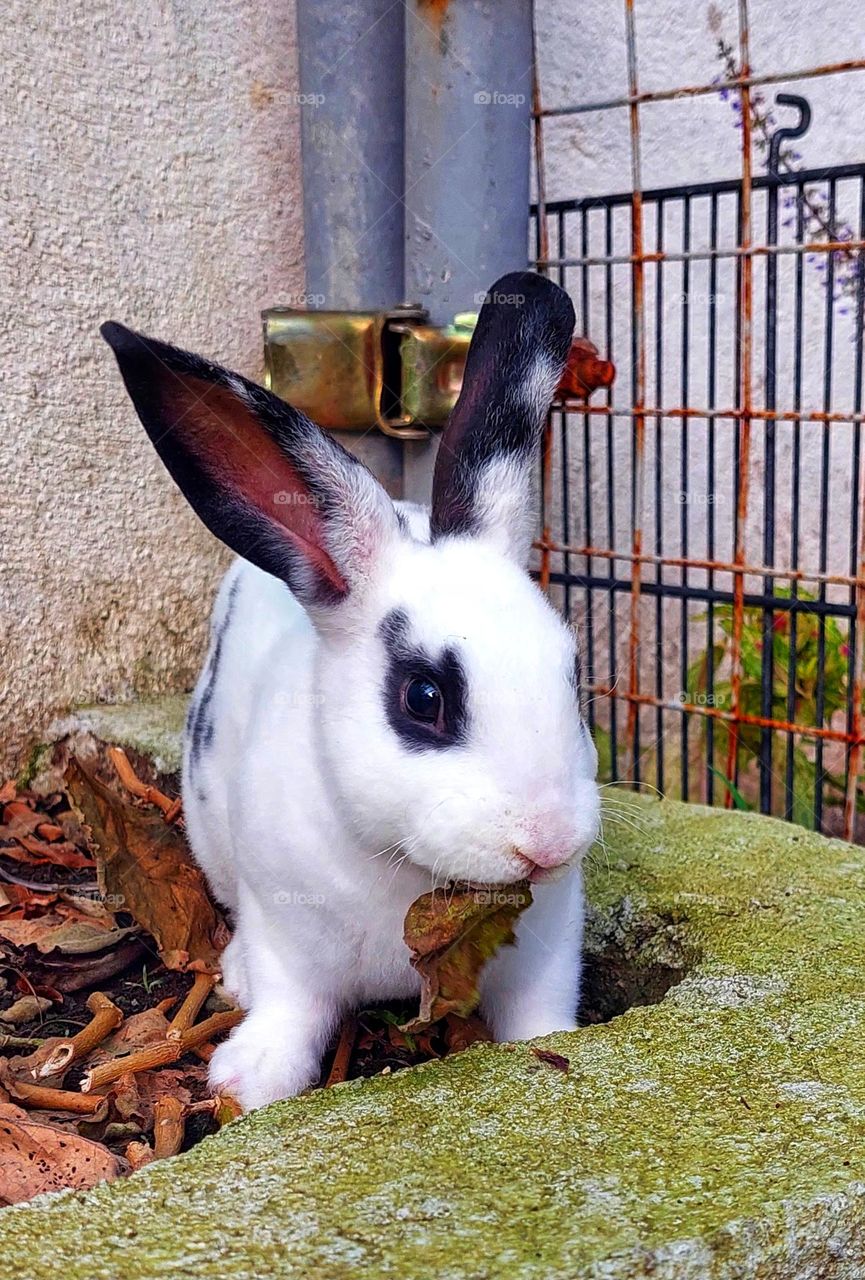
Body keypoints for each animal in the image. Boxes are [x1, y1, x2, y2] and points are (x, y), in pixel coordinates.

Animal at [101, 270, 601, 1112]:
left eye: (571, 673)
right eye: (423, 698)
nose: (549, 842)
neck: (405, 876)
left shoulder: (548, 942)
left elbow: (540, 1012)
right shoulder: (286, 932)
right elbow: (292, 1008)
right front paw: (247, 1079)